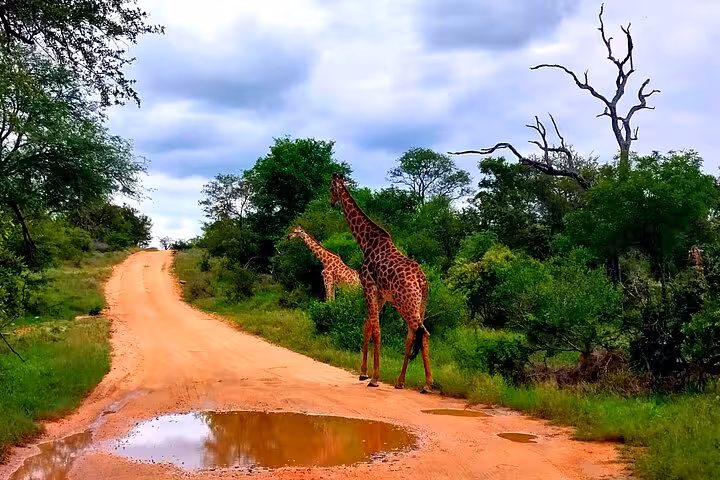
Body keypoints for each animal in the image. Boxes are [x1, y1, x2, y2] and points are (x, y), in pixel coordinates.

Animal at [329, 173, 433, 393]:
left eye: (330, 188)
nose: (331, 202)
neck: (365, 242)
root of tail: (422, 281)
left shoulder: (368, 285)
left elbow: (376, 329)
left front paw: (374, 378)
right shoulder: (381, 294)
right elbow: (367, 325)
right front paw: (363, 372)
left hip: (406, 302)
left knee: (421, 332)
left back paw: (426, 384)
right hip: (419, 305)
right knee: (415, 333)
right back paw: (403, 382)